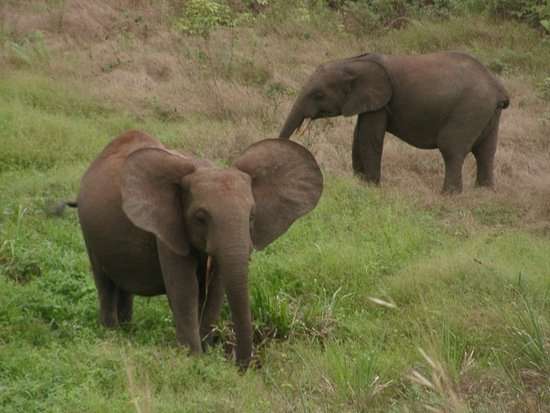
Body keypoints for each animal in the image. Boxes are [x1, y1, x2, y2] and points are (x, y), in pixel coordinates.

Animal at [73, 130, 324, 366]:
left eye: (252, 216)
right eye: (201, 218)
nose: (240, 365)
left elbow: (215, 290)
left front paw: (207, 354)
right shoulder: (168, 227)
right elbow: (185, 288)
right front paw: (194, 359)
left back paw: (127, 332)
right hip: (87, 229)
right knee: (104, 282)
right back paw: (112, 334)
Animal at [282, 51, 512, 193]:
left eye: (318, 94)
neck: (352, 62)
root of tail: (498, 88)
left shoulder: (381, 102)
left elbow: (369, 138)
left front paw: (371, 187)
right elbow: (358, 136)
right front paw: (359, 181)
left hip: (469, 110)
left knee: (451, 149)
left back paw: (449, 195)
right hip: (487, 114)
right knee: (485, 151)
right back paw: (485, 191)